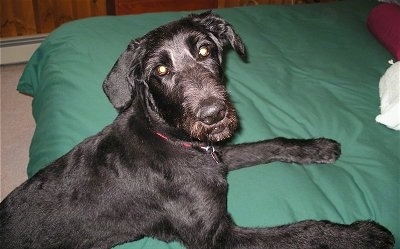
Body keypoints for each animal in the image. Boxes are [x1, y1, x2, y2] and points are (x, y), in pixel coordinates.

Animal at [0, 11, 394, 249]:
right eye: (160, 71)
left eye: (205, 50)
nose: (213, 114)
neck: (171, 140)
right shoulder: (216, 236)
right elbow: (301, 230)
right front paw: (362, 233)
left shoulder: (216, 152)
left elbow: (268, 144)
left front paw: (316, 147)